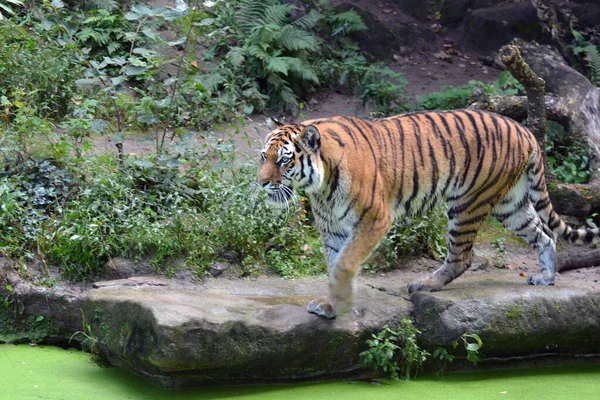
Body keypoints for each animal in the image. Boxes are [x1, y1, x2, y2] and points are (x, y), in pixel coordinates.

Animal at [254, 108, 600, 318]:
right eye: (262, 156)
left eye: (284, 160)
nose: (261, 182)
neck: (322, 186)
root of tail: (524, 129)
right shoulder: (333, 228)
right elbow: (333, 264)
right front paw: (332, 304)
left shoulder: (375, 218)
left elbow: (345, 263)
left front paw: (340, 302)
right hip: (510, 204)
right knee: (544, 235)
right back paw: (547, 277)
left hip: (469, 202)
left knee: (463, 257)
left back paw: (425, 285)